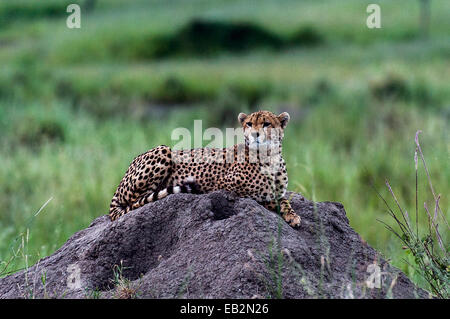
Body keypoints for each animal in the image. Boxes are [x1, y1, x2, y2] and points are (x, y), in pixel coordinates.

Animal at [109, 111, 300, 229]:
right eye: (249, 124)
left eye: (266, 124)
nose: (254, 134)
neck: (269, 157)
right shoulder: (222, 185)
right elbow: (262, 196)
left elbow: (283, 200)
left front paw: (292, 216)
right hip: (163, 150)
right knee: (137, 201)